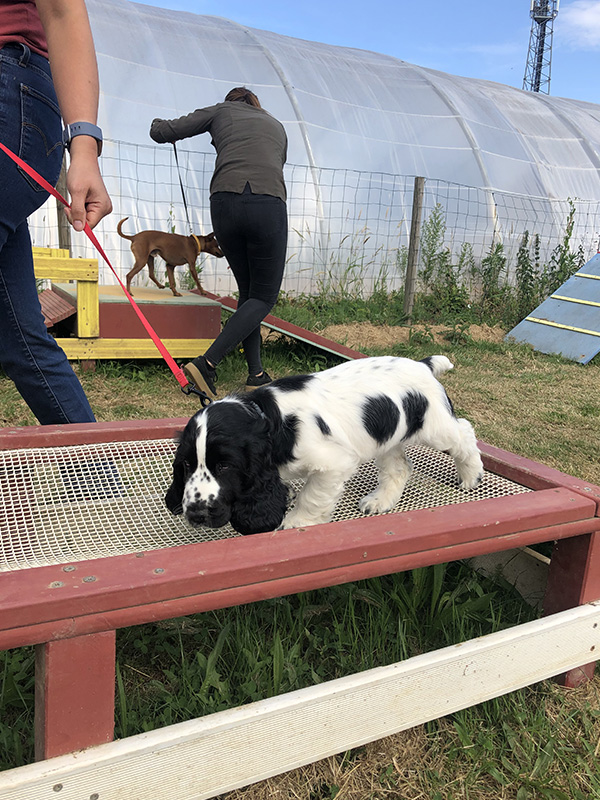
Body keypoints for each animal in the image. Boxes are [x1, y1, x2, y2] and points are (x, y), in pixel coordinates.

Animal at [166, 358, 486, 536]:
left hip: (435, 427)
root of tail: (423, 364)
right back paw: (380, 501)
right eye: (187, 465)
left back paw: (471, 476)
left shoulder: (333, 463)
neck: (270, 419)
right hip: (387, 437)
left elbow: (313, 496)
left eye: (225, 465)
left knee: (464, 433)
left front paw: (296, 521)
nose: (196, 514)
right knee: (399, 467)